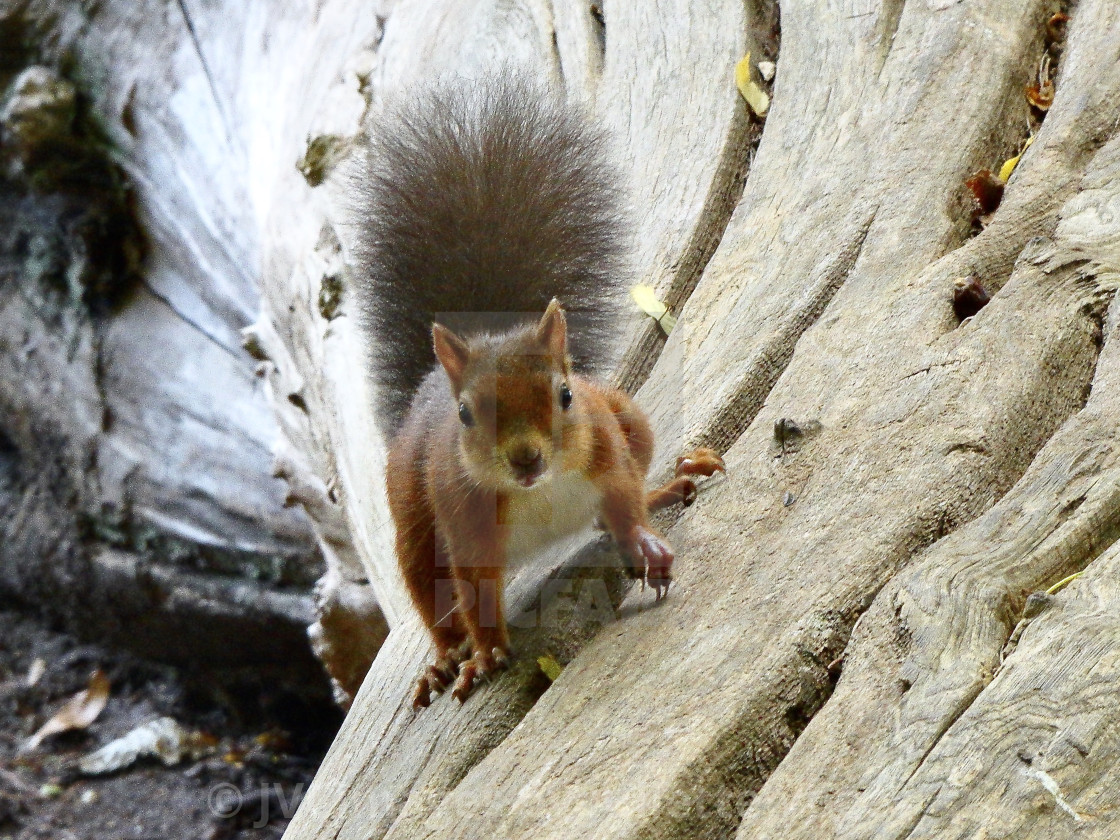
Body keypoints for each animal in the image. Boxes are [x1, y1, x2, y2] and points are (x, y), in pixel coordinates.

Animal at [358, 73, 725, 712]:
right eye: (466, 414)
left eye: (565, 395)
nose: (526, 458)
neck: (541, 491)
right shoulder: (464, 521)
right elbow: (474, 591)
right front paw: (483, 656)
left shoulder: (605, 447)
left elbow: (622, 499)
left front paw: (644, 537)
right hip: (414, 524)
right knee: (436, 604)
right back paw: (443, 660)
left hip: (628, 417)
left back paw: (664, 492)